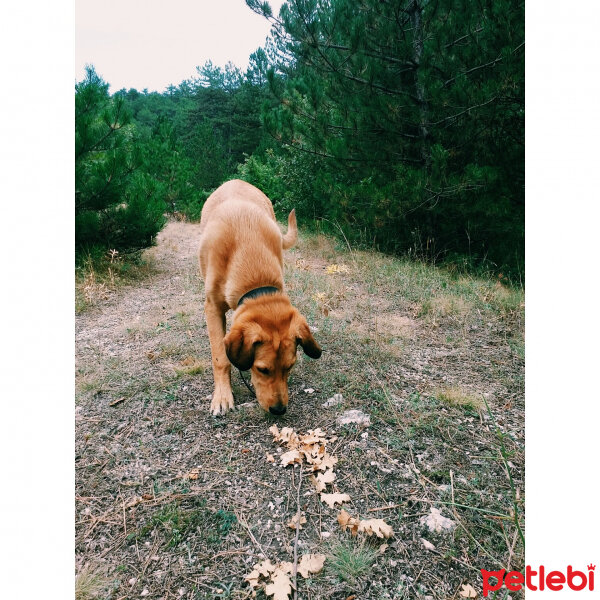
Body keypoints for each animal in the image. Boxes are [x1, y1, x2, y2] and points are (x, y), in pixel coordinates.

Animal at [198, 178, 322, 414]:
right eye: (262, 369)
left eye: (290, 367)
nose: (279, 410)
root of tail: (236, 180)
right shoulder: (212, 308)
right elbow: (220, 358)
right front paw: (222, 395)